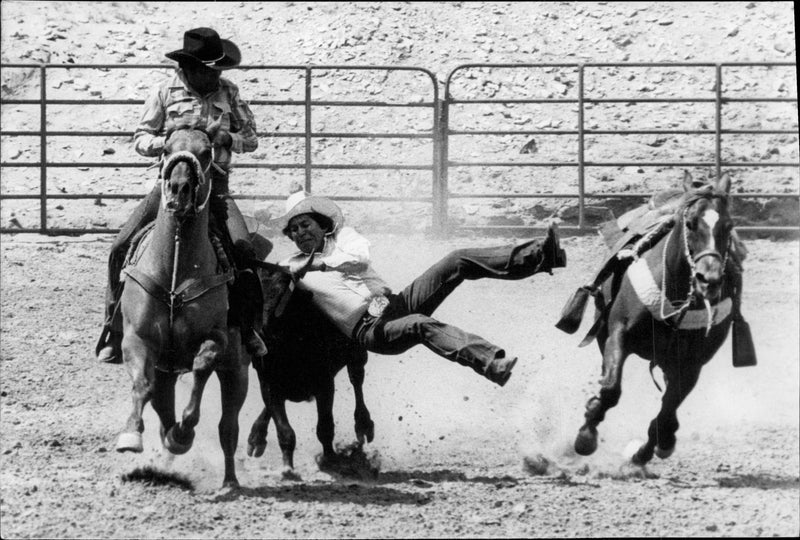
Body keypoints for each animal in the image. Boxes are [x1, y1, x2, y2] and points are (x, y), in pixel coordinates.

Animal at [114, 122, 248, 490]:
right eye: (165, 149)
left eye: (206, 152)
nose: (179, 189)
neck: (175, 265)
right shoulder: (137, 340)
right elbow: (141, 387)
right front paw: (130, 435)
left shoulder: (218, 339)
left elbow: (201, 366)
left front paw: (184, 433)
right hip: (166, 369)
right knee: (162, 405)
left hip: (238, 370)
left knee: (228, 427)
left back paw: (229, 480)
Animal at [572, 172, 740, 464]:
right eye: (690, 223)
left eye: (728, 226)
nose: (709, 279)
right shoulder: (618, 332)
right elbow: (611, 389)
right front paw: (586, 435)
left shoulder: (692, 364)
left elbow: (666, 413)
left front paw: (647, 450)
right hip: (603, 331)